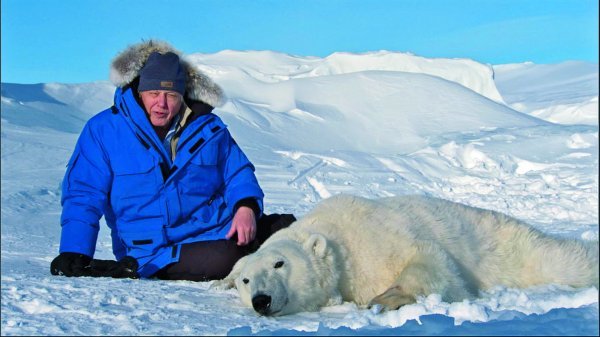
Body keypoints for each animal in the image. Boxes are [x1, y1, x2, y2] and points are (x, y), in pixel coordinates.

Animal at [213, 194, 596, 316]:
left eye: (280, 263)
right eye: (246, 280)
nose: (261, 300)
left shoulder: (377, 238)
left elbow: (432, 260)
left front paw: (387, 297)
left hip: (513, 246)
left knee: (563, 259)